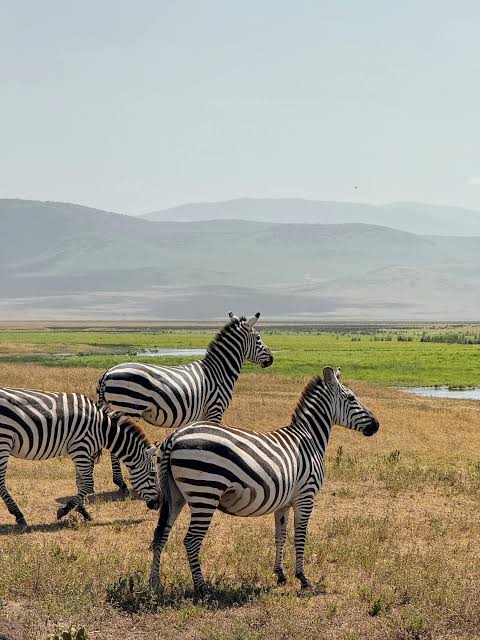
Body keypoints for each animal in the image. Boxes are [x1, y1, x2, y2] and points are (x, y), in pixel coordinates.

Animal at [0, 386, 160, 530]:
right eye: (153, 474)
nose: (157, 505)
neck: (102, 429)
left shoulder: (82, 451)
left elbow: (80, 483)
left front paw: (83, 511)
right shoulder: (81, 448)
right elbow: (88, 484)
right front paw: (65, 510)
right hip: (4, 440)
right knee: (1, 483)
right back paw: (19, 515)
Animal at [97, 312, 273, 493]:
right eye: (258, 338)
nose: (271, 360)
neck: (219, 372)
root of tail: (108, 373)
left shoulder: (202, 414)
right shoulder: (215, 409)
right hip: (129, 408)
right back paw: (121, 483)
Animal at [149, 366, 379, 595]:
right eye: (351, 398)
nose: (376, 425)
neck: (309, 438)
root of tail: (174, 437)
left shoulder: (284, 503)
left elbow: (281, 536)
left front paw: (280, 574)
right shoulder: (305, 496)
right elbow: (300, 536)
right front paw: (303, 578)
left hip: (175, 495)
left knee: (161, 534)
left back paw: (155, 584)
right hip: (205, 493)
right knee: (191, 540)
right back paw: (202, 587)